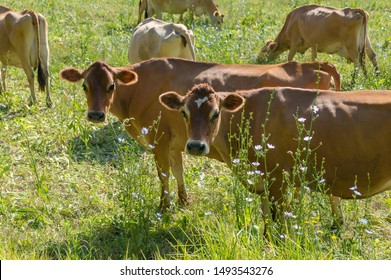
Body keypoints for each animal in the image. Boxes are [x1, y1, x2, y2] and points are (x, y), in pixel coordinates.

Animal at [59, 58, 342, 212]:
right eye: (84, 85)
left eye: (111, 86)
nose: (96, 115)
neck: (141, 89)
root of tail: (314, 65)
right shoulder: (175, 143)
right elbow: (178, 171)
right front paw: (184, 202)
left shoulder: (159, 140)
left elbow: (164, 176)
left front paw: (164, 208)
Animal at [159, 84, 391, 231]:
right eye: (184, 113)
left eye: (215, 113)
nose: (195, 146)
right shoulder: (262, 182)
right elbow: (266, 222)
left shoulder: (278, 179)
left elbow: (277, 222)